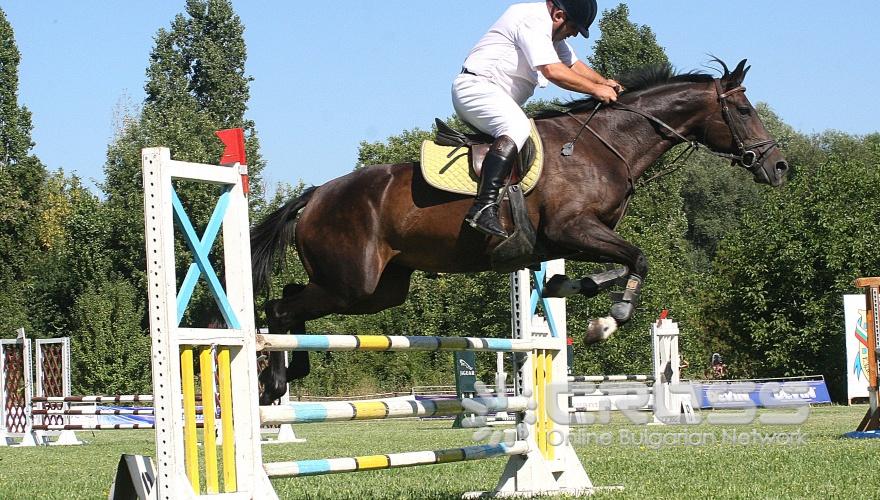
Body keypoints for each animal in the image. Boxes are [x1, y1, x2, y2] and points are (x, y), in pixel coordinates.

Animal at [251, 59, 788, 402]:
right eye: (743, 111)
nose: (779, 167)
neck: (605, 145)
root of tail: (315, 194)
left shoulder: (573, 238)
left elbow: (614, 266)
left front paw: (569, 287)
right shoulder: (573, 228)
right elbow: (638, 258)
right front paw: (609, 320)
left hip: (380, 290)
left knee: (293, 295)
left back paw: (292, 368)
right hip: (353, 283)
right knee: (278, 306)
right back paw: (275, 380)